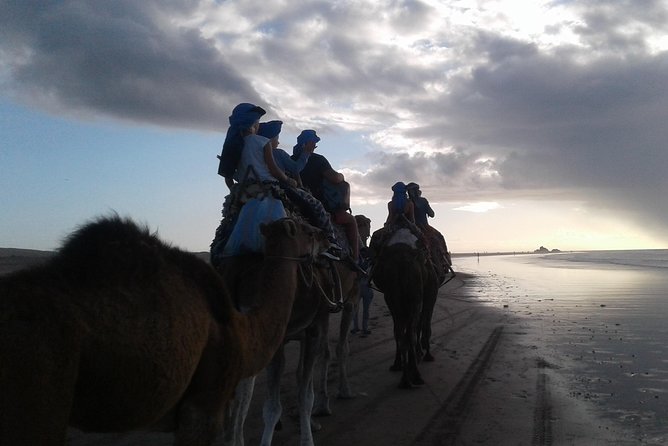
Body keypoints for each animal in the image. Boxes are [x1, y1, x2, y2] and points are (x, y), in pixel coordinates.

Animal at [368, 226, 436, 386]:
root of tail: (402, 259)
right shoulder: (430, 293)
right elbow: (425, 324)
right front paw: (426, 354)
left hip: (392, 295)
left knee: (399, 331)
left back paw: (403, 374)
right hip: (415, 295)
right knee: (411, 330)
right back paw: (415, 374)